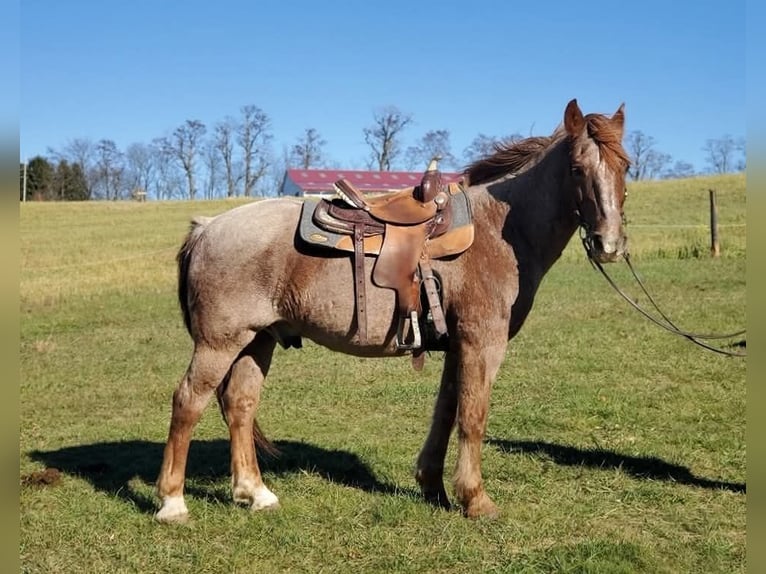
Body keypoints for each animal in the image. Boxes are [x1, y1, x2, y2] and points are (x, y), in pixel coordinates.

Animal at [154, 100, 632, 528]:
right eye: (576, 168)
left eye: (625, 167)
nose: (608, 244)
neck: (499, 230)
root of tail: (207, 227)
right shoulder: (482, 343)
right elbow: (473, 416)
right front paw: (476, 500)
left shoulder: (456, 346)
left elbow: (447, 411)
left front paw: (434, 487)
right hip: (219, 343)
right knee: (188, 402)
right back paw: (173, 503)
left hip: (258, 340)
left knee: (240, 404)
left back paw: (256, 493)